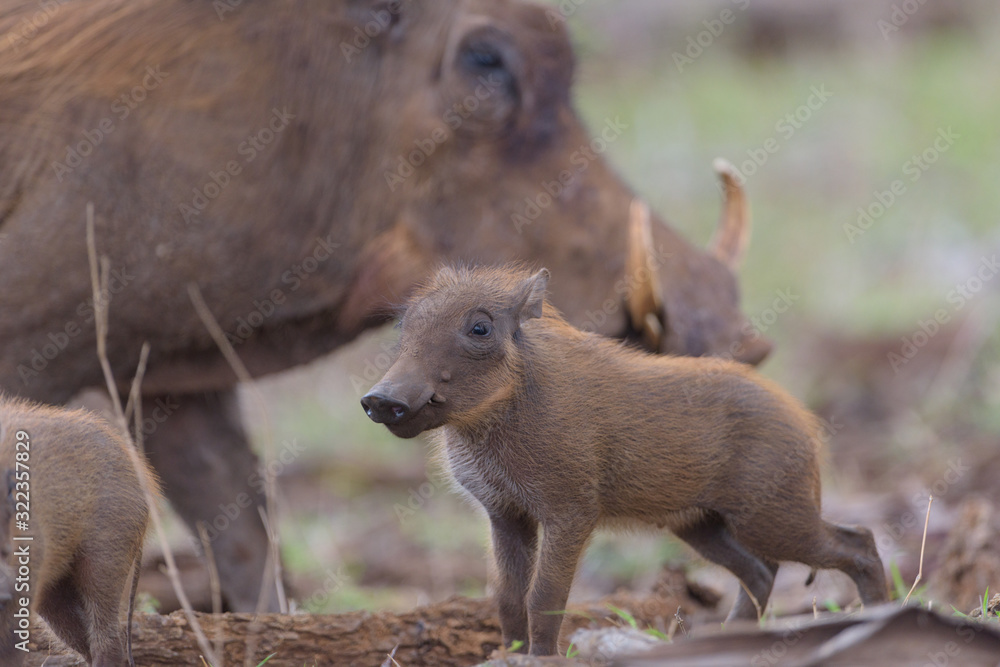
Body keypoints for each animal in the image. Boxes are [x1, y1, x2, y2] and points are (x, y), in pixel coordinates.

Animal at [361, 261, 889, 655]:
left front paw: (540, 659)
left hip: (771, 516)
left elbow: (545, 596)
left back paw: (879, 620)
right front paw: (509, 657)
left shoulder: (570, 511)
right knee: (761, 572)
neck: (492, 420)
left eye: (479, 327)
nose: (379, 400)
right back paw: (728, 641)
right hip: (701, 524)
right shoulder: (505, 514)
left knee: (858, 542)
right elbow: (508, 598)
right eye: (404, 323)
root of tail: (804, 422)